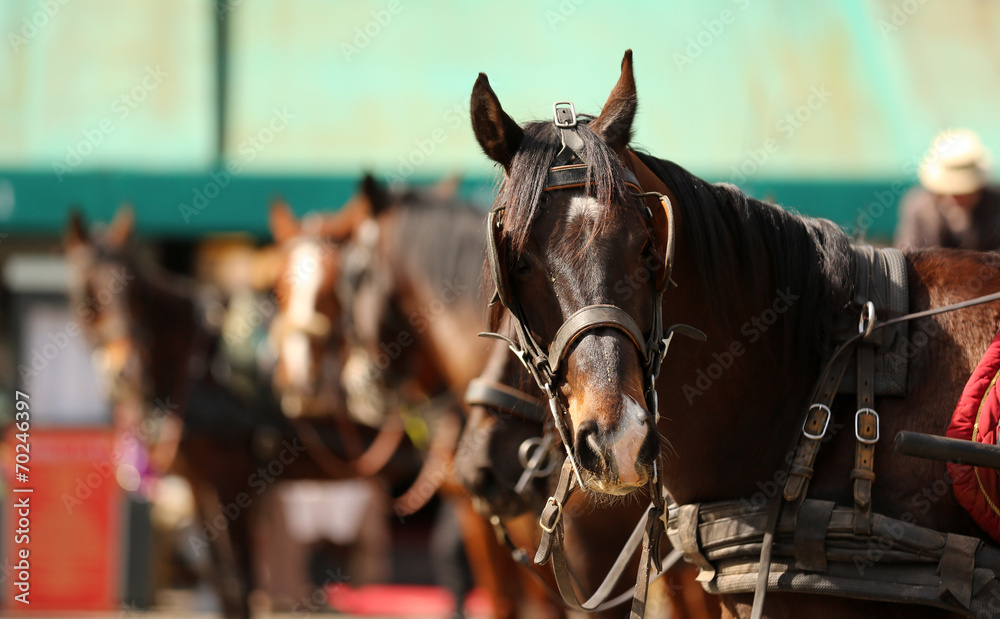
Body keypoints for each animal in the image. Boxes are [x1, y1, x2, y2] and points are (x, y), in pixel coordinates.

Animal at [64, 208, 421, 619]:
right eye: (88, 292)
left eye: (135, 291)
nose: (127, 370)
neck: (200, 369)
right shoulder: (199, 485)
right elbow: (223, 585)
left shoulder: (232, 483)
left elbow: (240, 582)